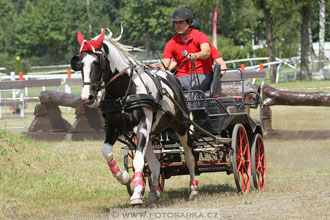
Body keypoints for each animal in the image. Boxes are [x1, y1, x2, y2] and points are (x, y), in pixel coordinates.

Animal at [70, 28, 199, 205]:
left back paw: (193, 190)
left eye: (97, 63)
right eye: (80, 64)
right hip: (151, 134)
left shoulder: (142, 126)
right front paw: (123, 177)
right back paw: (154, 192)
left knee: (189, 156)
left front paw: (137, 193)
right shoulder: (115, 126)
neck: (123, 92)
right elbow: (106, 151)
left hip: (182, 126)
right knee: (155, 163)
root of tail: (170, 75)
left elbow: (138, 160)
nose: (86, 97)